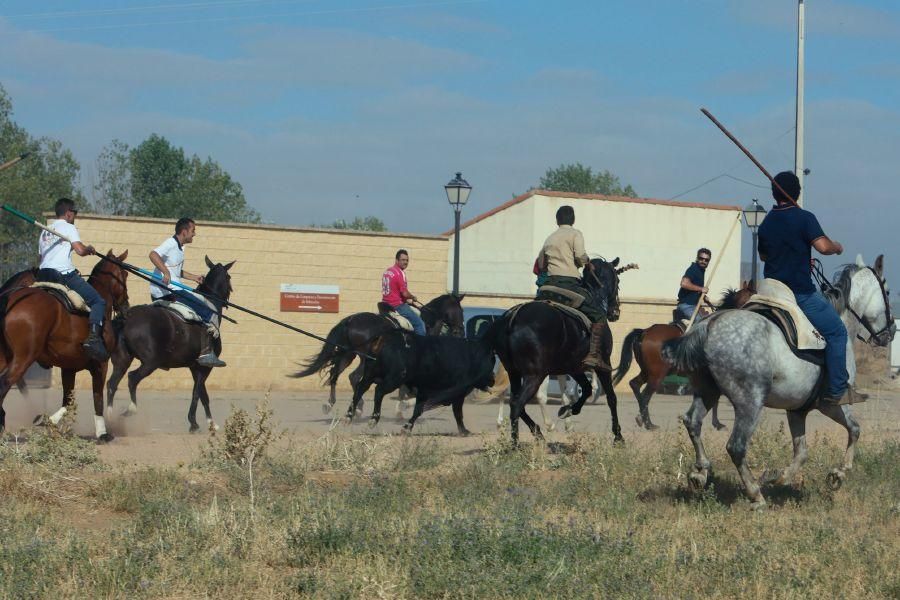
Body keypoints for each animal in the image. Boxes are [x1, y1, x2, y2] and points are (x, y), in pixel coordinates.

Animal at [0, 248, 131, 440]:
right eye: (124, 274)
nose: (126, 306)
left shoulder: (68, 367)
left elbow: (67, 401)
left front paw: (49, 422)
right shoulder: (101, 364)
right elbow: (97, 397)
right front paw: (102, 433)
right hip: (24, 357)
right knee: (5, 383)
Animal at [107, 256, 234, 432]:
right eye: (229, 277)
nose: (229, 295)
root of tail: (127, 317)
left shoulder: (195, 367)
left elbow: (202, 394)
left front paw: (205, 422)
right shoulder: (204, 367)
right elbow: (198, 393)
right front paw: (200, 423)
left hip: (122, 359)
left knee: (112, 383)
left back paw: (109, 418)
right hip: (151, 362)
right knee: (132, 378)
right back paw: (131, 409)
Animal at [294, 294, 464, 414]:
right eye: (460, 311)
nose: (460, 332)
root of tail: (349, 320)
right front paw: (402, 407)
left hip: (348, 354)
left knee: (335, 374)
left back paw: (331, 404)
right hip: (365, 358)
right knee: (354, 377)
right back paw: (357, 407)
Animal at [612, 288, 752, 432]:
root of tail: (644, 332)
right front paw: (717, 424)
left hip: (647, 371)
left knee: (634, 384)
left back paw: (642, 419)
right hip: (657, 375)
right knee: (645, 396)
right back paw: (649, 423)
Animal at [660, 255, 892, 508]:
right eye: (888, 291)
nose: (890, 333)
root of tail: (709, 325)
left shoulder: (797, 410)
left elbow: (802, 451)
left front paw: (781, 477)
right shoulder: (831, 403)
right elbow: (854, 429)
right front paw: (838, 473)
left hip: (707, 391)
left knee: (693, 422)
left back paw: (700, 472)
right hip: (749, 403)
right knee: (736, 446)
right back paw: (755, 495)